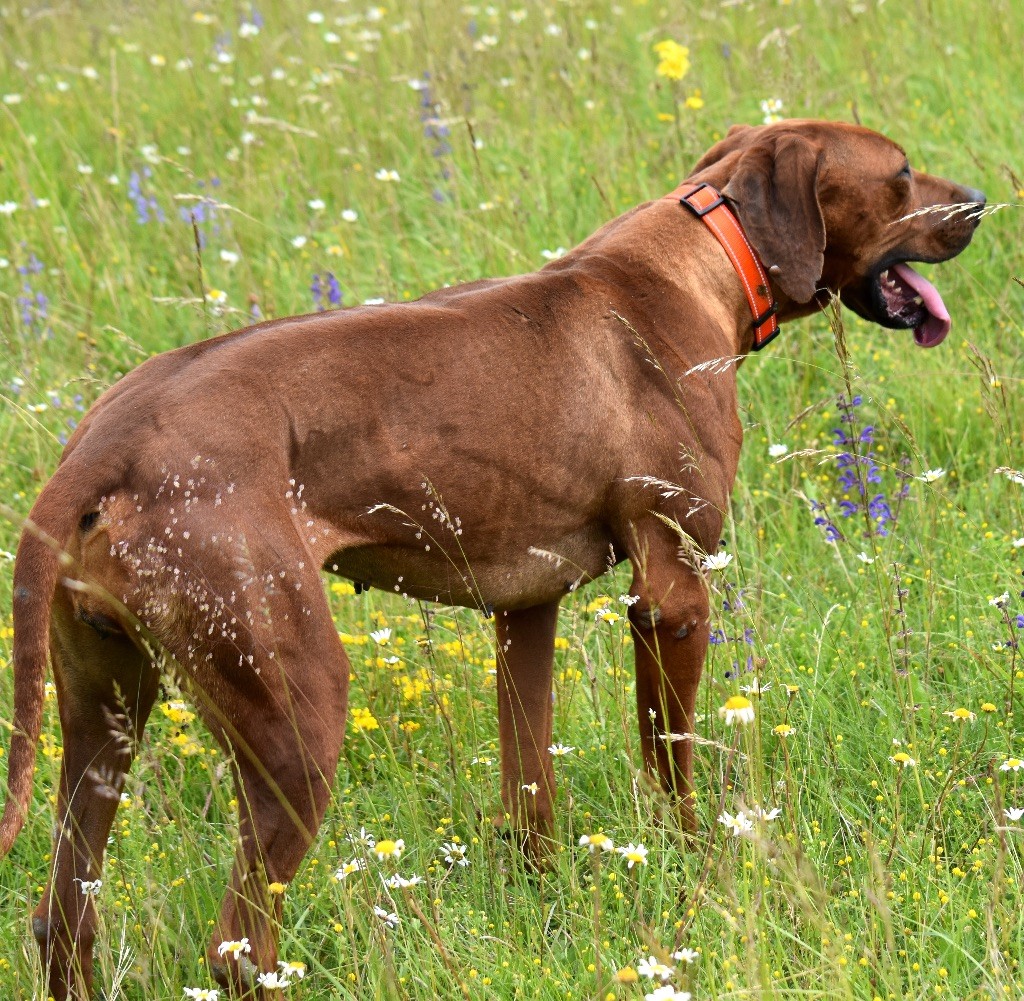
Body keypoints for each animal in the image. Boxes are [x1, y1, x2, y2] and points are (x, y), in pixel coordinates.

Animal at [4, 120, 987, 994]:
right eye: (901, 173)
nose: (980, 203)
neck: (705, 243)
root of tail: (103, 439)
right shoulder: (672, 597)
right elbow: (670, 769)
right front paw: (695, 872)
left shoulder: (524, 610)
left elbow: (530, 789)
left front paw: (543, 907)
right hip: (295, 715)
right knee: (236, 951)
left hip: (104, 708)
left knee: (63, 917)